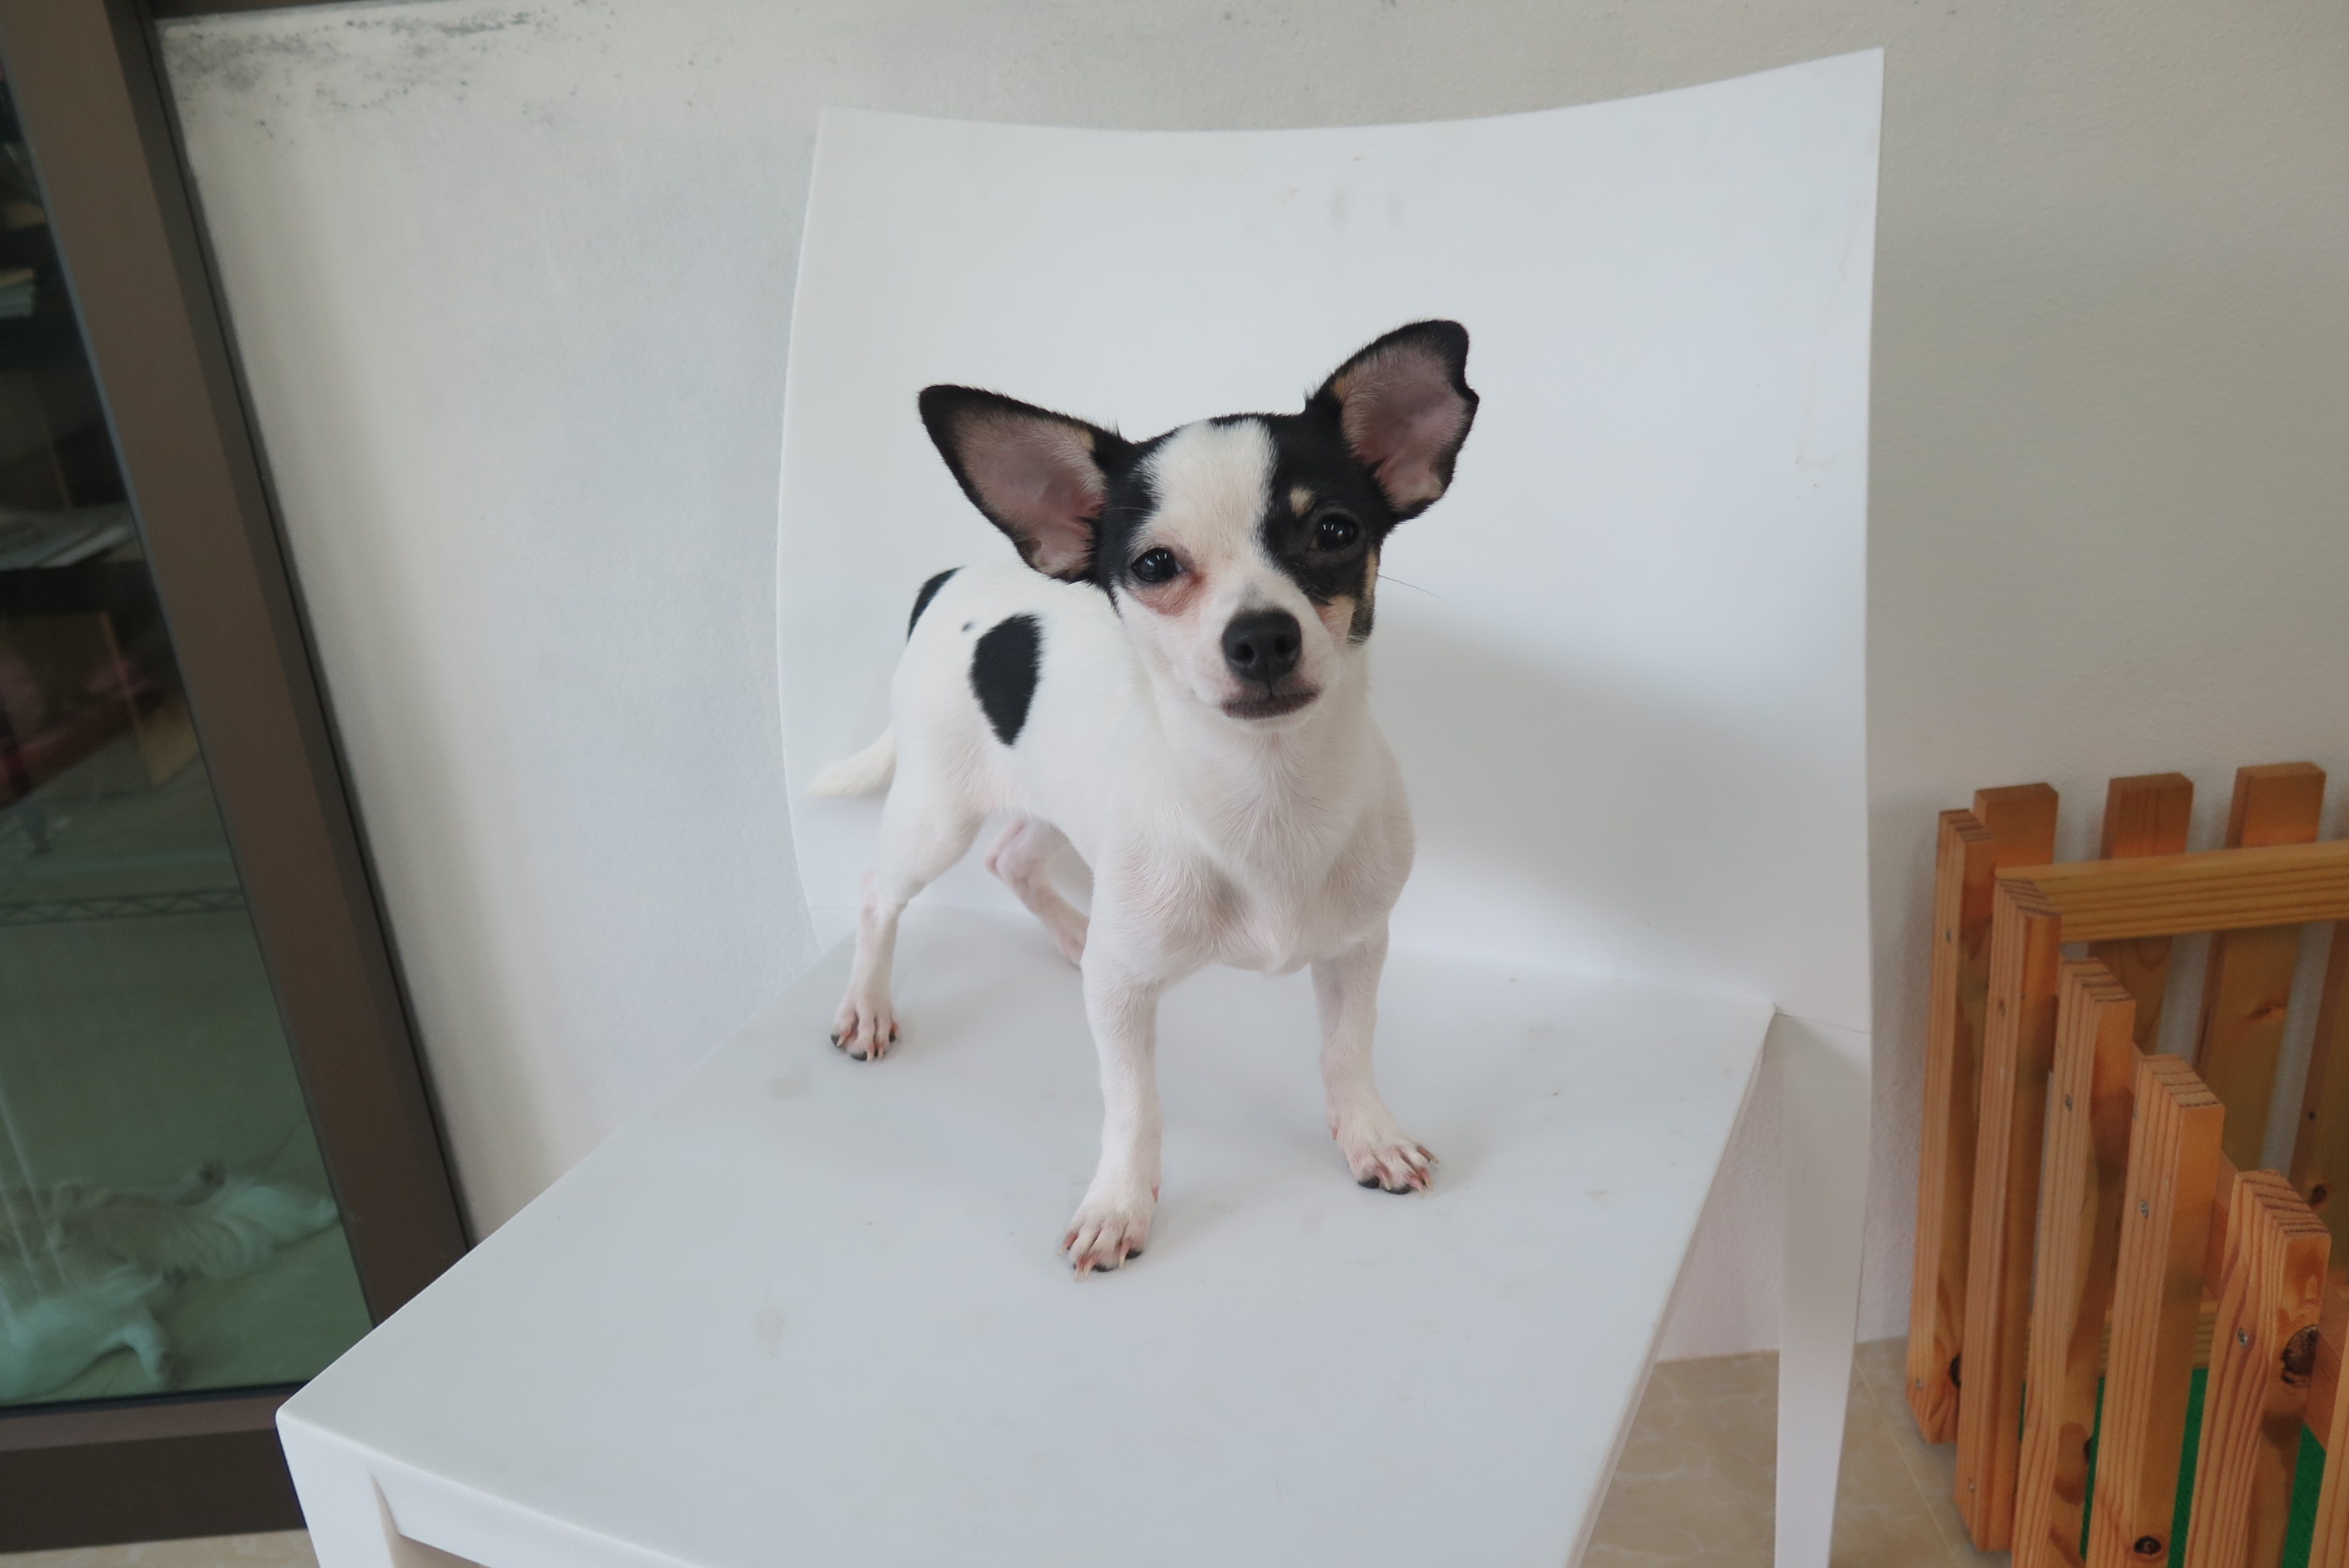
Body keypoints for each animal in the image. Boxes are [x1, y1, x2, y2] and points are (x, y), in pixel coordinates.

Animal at [808, 321, 1478, 1274]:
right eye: (1155, 564)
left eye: (1334, 530)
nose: (1261, 635)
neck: (1263, 793)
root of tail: (948, 580)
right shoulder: (1123, 999)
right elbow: (1133, 1105)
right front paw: (1119, 1201)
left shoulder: (1355, 951)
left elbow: (1346, 1051)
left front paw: (1367, 1134)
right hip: (934, 814)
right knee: (879, 893)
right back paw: (867, 1005)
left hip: (1050, 803)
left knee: (1010, 858)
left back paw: (1070, 933)